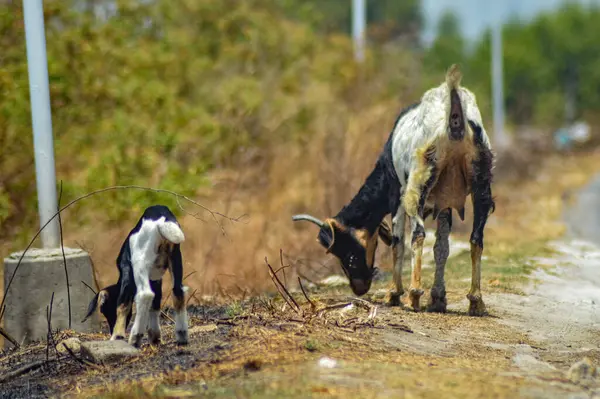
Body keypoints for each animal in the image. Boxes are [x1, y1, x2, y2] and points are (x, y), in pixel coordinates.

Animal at [82, 206, 189, 346]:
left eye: (105, 310)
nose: (110, 331)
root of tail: (161, 220)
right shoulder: (156, 280)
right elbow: (155, 306)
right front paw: (155, 337)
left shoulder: (127, 272)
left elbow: (123, 305)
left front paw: (117, 336)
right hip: (175, 259)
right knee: (178, 291)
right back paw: (182, 335)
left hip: (140, 263)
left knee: (145, 295)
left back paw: (135, 337)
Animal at [292, 65, 494, 316]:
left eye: (347, 251)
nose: (359, 288)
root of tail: (454, 120)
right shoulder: (444, 201)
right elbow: (441, 247)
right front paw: (438, 298)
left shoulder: (395, 193)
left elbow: (398, 241)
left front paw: (394, 294)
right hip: (481, 182)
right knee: (476, 239)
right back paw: (476, 301)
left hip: (418, 182)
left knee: (417, 235)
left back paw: (414, 296)